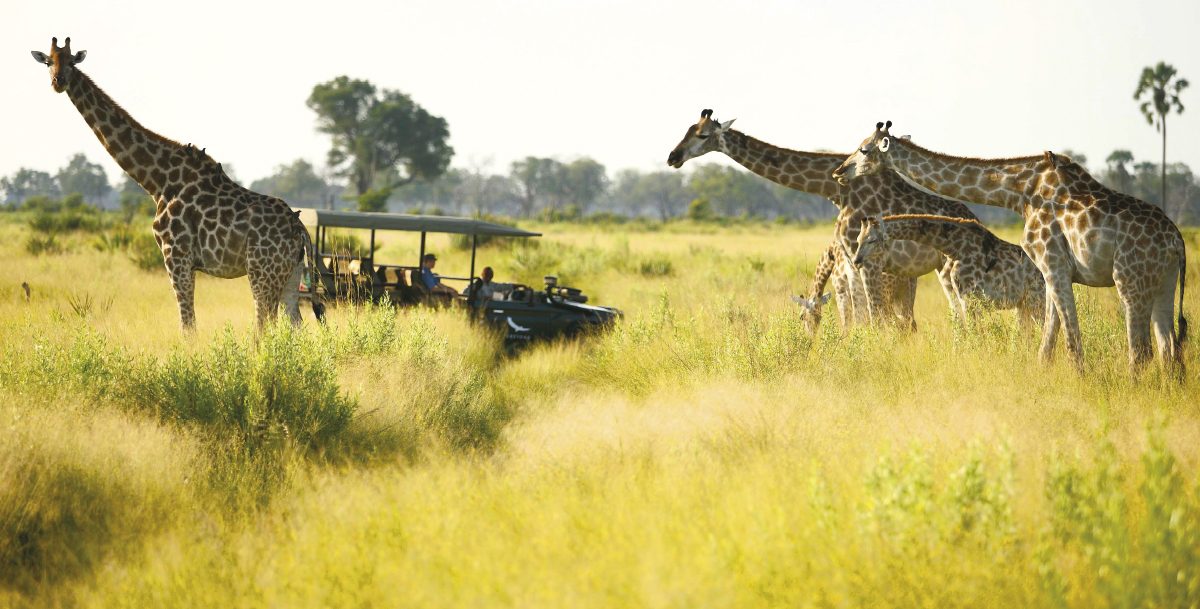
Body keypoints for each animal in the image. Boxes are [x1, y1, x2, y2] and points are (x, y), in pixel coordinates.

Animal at [32, 37, 324, 328]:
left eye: (71, 62)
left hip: (262, 272)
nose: (58, 81)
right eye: (48, 62)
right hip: (291, 275)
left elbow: (187, 325)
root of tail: (299, 227)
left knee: (265, 325)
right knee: (294, 324)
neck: (158, 181)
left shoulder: (175, 256)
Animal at [667, 109, 974, 328]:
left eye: (703, 136)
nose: (673, 156)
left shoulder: (863, 262)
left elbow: (870, 320)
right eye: (687, 130)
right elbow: (862, 320)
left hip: (944, 271)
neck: (836, 190)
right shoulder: (851, 262)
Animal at [854, 214, 1041, 328]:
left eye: (871, 240)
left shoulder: (969, 297)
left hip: (1035, 300)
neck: (954, 247)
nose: (856, 261)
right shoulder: (961, 295)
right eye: (858, 240)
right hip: (1023, 304)